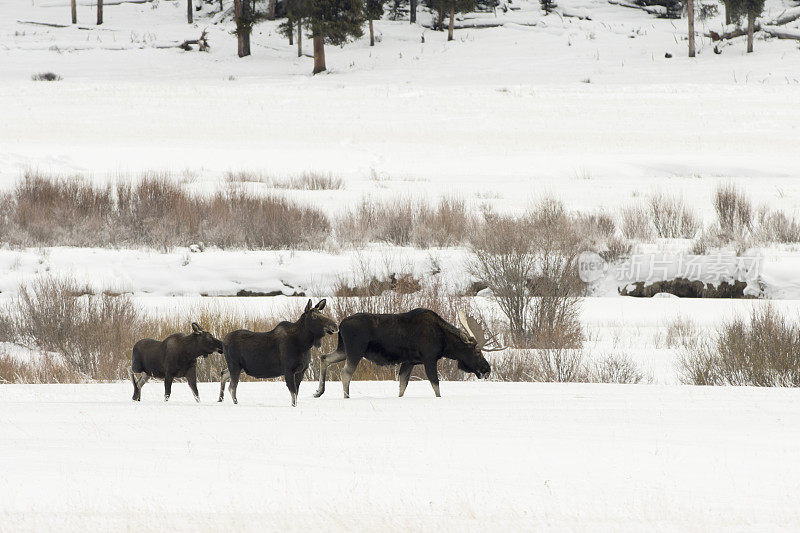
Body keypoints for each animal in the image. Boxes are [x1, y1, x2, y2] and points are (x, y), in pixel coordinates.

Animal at [314, 308, 506, 400]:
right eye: (476, 352)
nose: (487, 369)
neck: (445, 342)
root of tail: (340, 326)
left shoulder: (409, 361)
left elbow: (402, 386)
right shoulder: (429, 359)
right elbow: (436, 386)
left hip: (343, 349)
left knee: (324, 358)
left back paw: (318, 392)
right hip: (355, 350)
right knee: (345, 373)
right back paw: (346, 397)